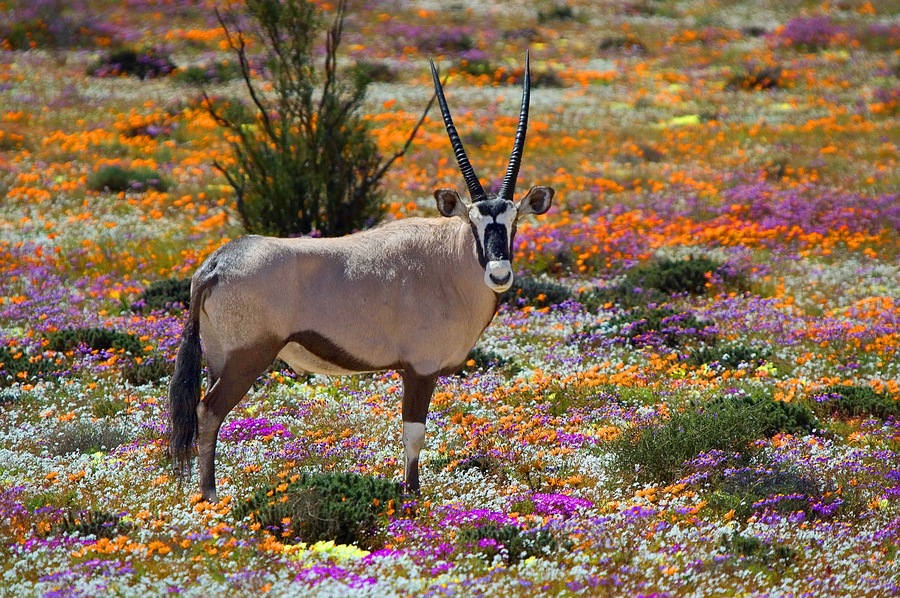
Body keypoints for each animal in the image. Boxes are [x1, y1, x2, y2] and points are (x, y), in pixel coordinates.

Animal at [168, 54, 554, 503]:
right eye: (473, 221)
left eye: (513, 223)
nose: (498, 272)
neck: (449, 261)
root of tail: (216, 264)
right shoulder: (419, 368)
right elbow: (414, 434)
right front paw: (412, 497)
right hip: (247, 358)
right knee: (208, 411)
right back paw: (210, 497)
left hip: (219, 358)